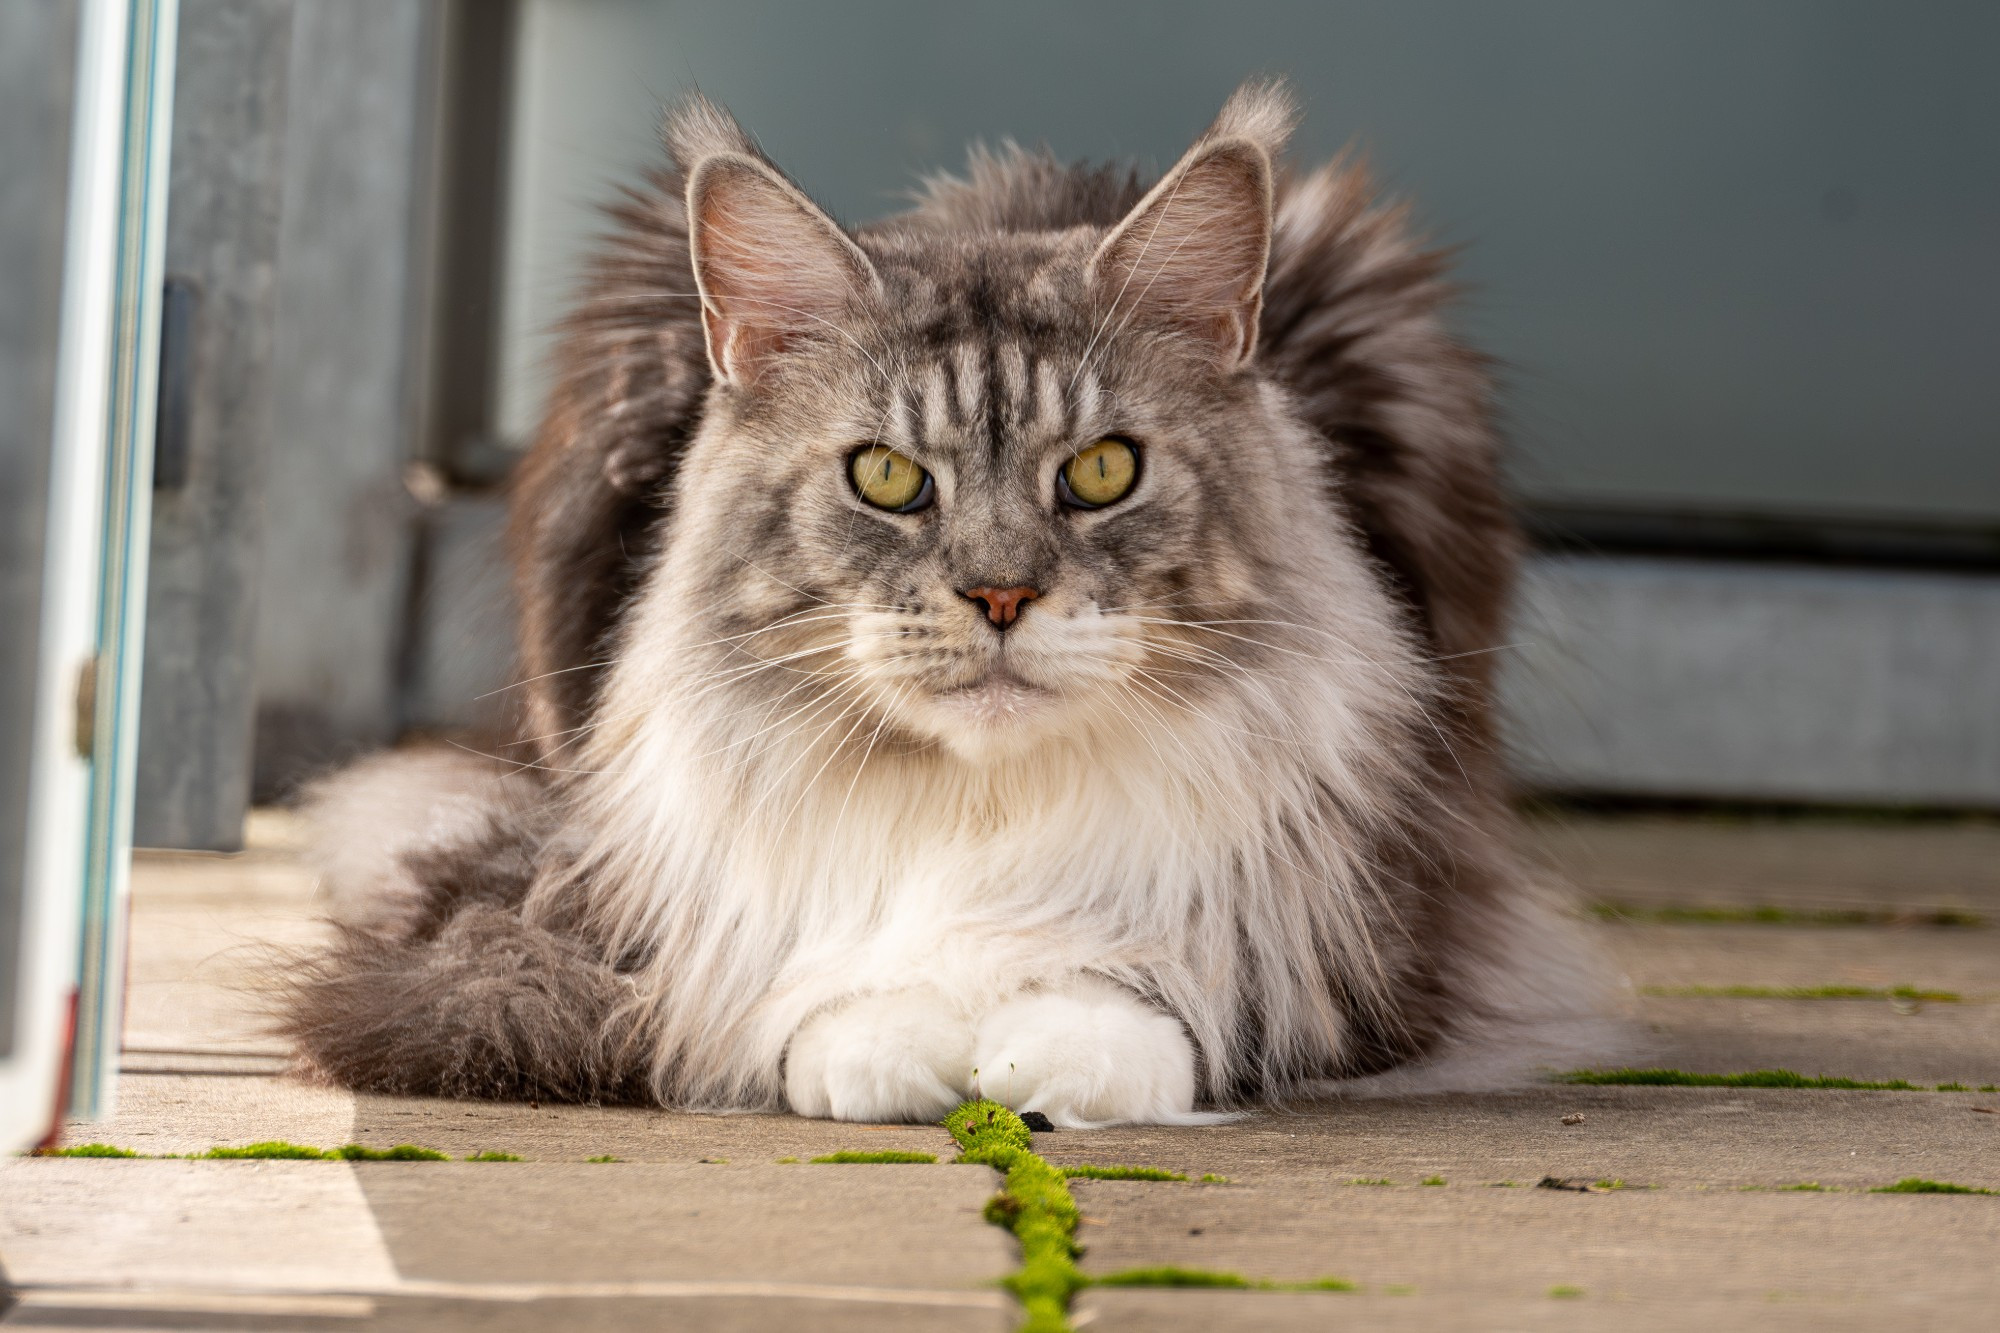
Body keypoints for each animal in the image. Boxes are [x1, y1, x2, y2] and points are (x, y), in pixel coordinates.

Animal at [282, 80, 1600, 1120]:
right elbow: (802, 978)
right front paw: (887, 1033)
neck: (981, 802)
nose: (1000, 593)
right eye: (885, 478)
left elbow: (1180, 987)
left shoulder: (1384, 930)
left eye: (1102, 472)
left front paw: (1062, 1044)